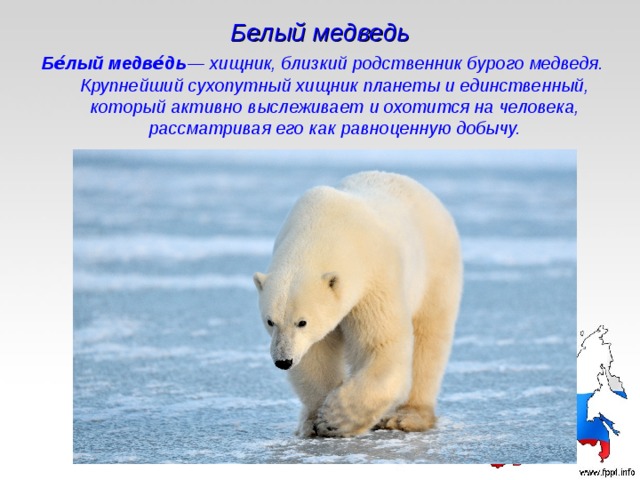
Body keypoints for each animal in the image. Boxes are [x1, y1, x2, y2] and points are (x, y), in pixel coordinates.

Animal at [253, 171, 462, 437]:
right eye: (270, 321)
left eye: (302, 322)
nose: (283, 361)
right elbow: (314, 355)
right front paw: (315, 420)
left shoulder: (374, 279)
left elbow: (381, 344)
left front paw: (335, 418)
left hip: (435, 270)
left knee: (429, 339)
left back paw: (407, 416)